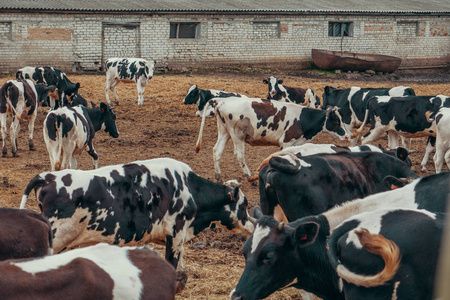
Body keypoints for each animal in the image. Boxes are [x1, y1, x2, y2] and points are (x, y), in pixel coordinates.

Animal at [20, 158, 253, 292]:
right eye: (245, 205)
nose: (253, 224)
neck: (190, 189)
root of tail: (48, 177)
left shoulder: (176, 237)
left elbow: (181, 270)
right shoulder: (177, 232)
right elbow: (172, 265)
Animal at [195, 98, 350, 183]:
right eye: (336, 121)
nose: (346, 136)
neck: (303, 119)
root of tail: (221, 101)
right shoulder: (286, 143)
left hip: (224, 132)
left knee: (217, 151)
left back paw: (218, 177)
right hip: (237, 136)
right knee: (239, 156)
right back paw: (250, 177)